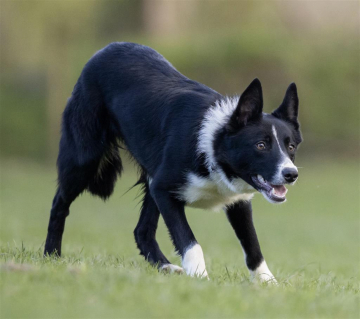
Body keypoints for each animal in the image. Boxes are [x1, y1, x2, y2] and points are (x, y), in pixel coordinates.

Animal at [45, 42, 304, 282]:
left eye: (290, 147)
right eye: (260, 145)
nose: (291, 174)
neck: (213, 146)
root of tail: (107, 48)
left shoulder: (237, 202)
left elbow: (253, 246)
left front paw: (267, 283)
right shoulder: (164, 190)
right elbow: (189, 240)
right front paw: (200, 277)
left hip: (150, 178)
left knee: (142, 231)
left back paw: (166, 267)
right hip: (84, 159)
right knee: (59, 204)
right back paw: (51, 256)